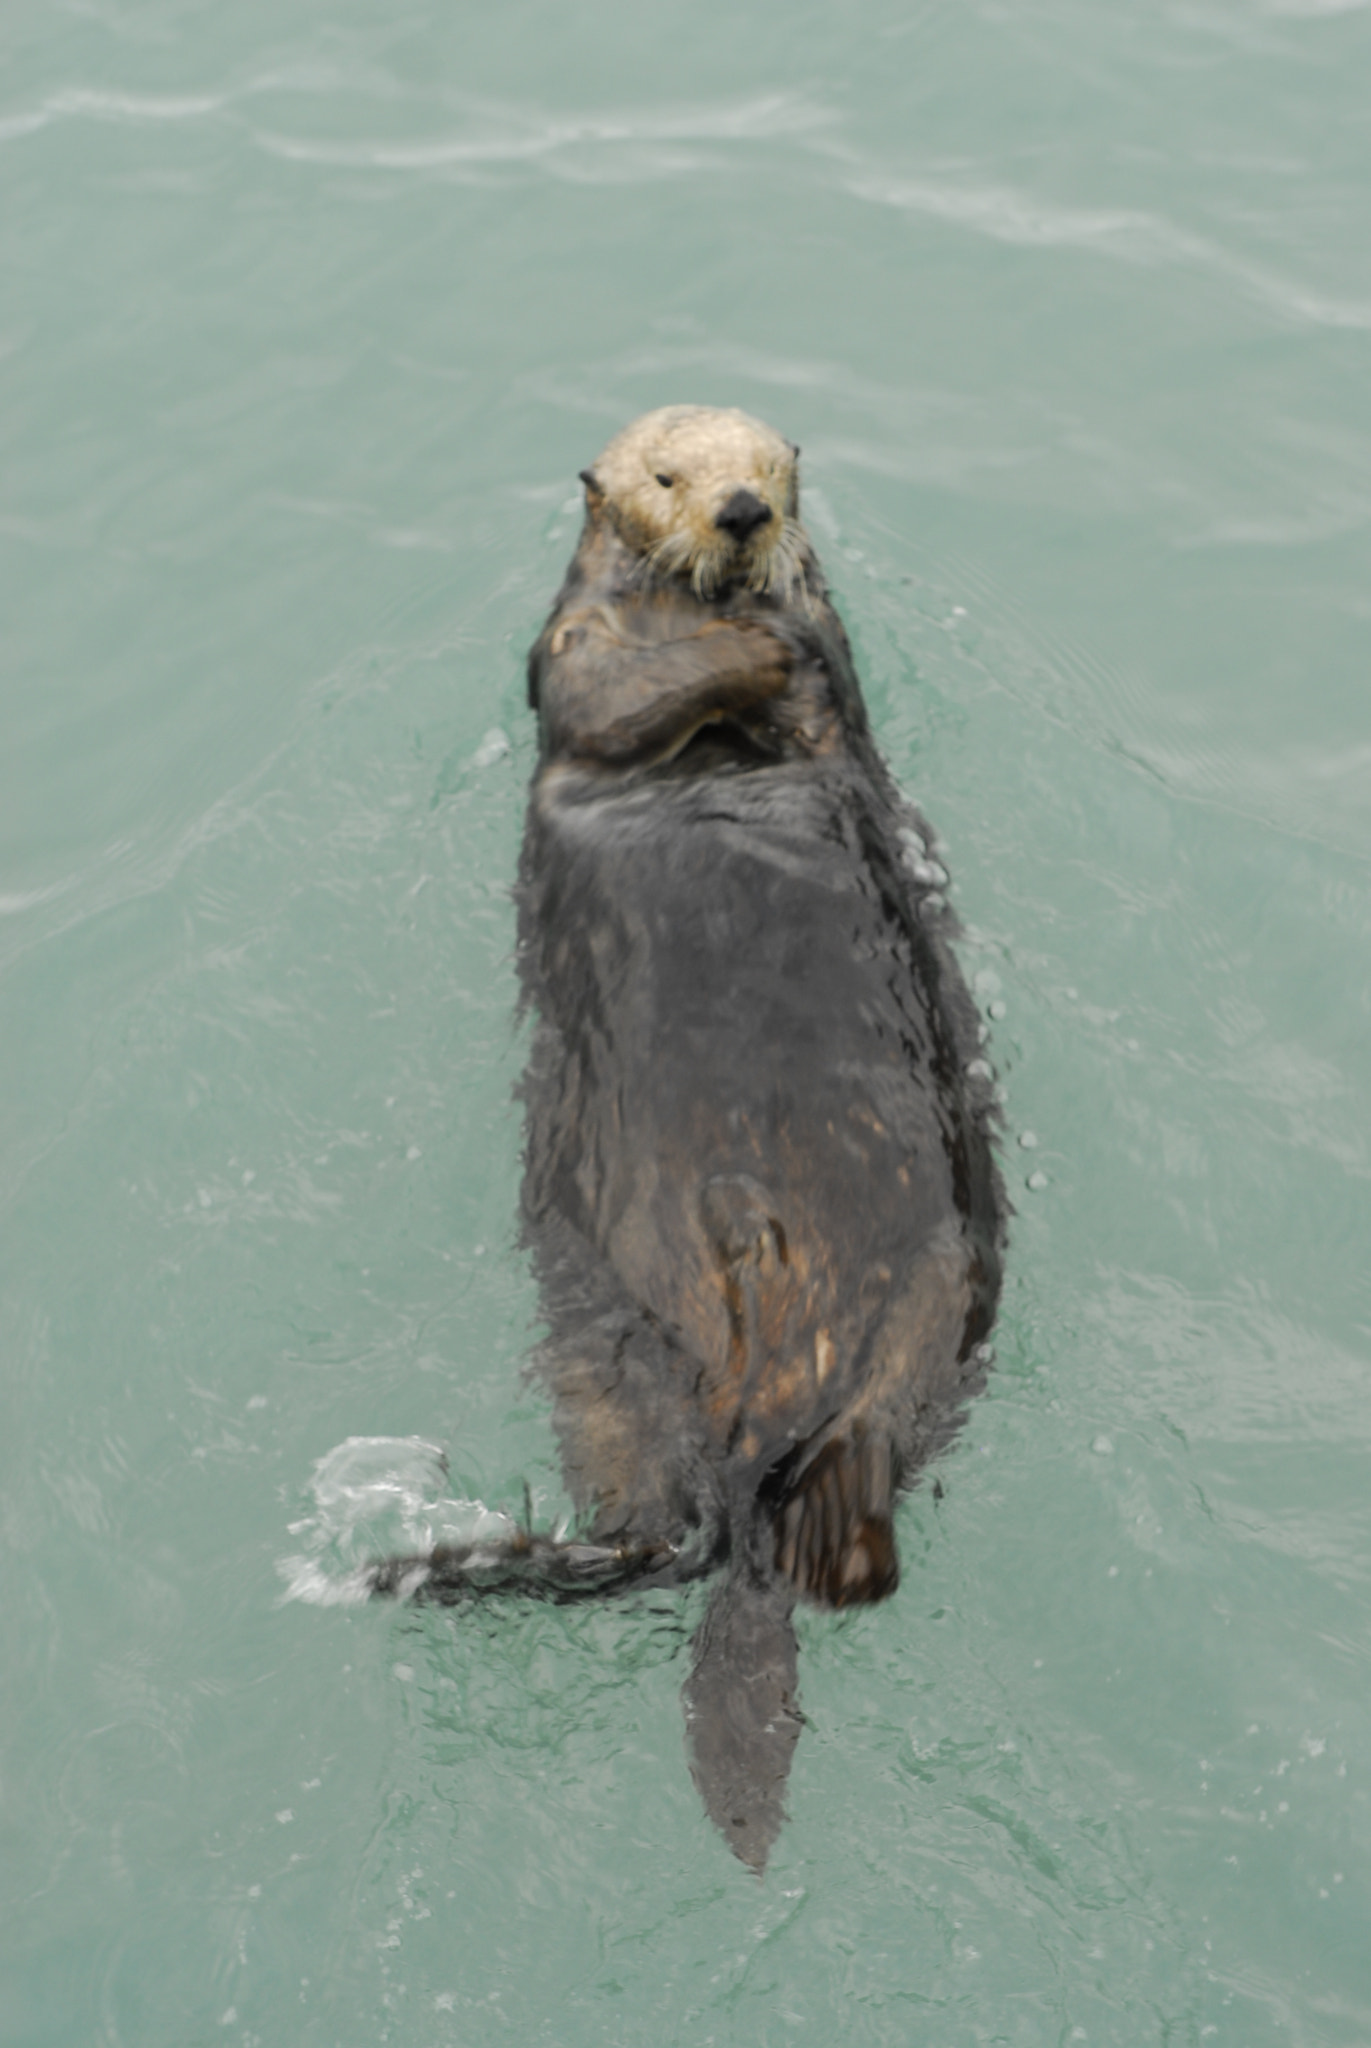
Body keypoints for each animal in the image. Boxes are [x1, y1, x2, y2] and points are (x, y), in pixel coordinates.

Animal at [371, 405, 1005, 1870]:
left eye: (769, 469)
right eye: (667, 475)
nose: (739, 514)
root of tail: (755, 1440)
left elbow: (811, 681)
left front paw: (770, 633)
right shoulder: (574, 655)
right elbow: (619, 699)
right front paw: (745, 646)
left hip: (931, 1292)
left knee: (821, 1489)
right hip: (603, 1338)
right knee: (678, 1520)